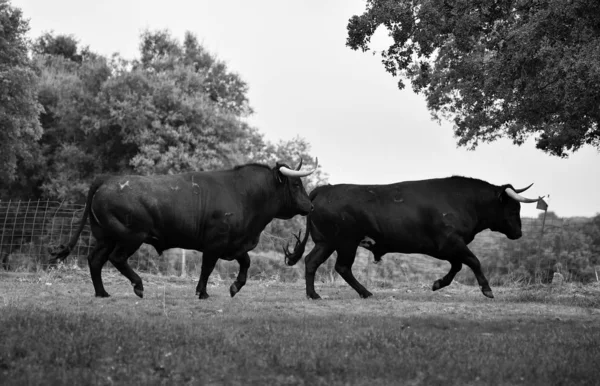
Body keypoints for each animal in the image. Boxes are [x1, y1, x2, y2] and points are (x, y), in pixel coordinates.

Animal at [50, 160, 318, 298]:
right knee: (117, 259)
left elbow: (246, 263)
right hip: (130, 236)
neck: (244, 194)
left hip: (106, 237)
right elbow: (207, 268)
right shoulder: (215, 243)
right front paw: (202, 292)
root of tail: (107, 179)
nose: (310, 205)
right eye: (296, 184)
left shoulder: (235, 244)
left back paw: (102, 293)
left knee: (95, 260)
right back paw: (138, 285)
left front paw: (235, 287)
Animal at [284, 176, 540, 300]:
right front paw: (486, 289)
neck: (464, 200)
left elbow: (457, 266)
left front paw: (438, 283)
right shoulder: (451, 243)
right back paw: (362, 292)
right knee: (342, 267)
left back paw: (315, 294)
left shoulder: (447, 247)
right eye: (512, 208)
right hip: (345, 243)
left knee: (312, 262)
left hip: (327, 243)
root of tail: (325, 189)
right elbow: (473, 261)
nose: (519, 232)